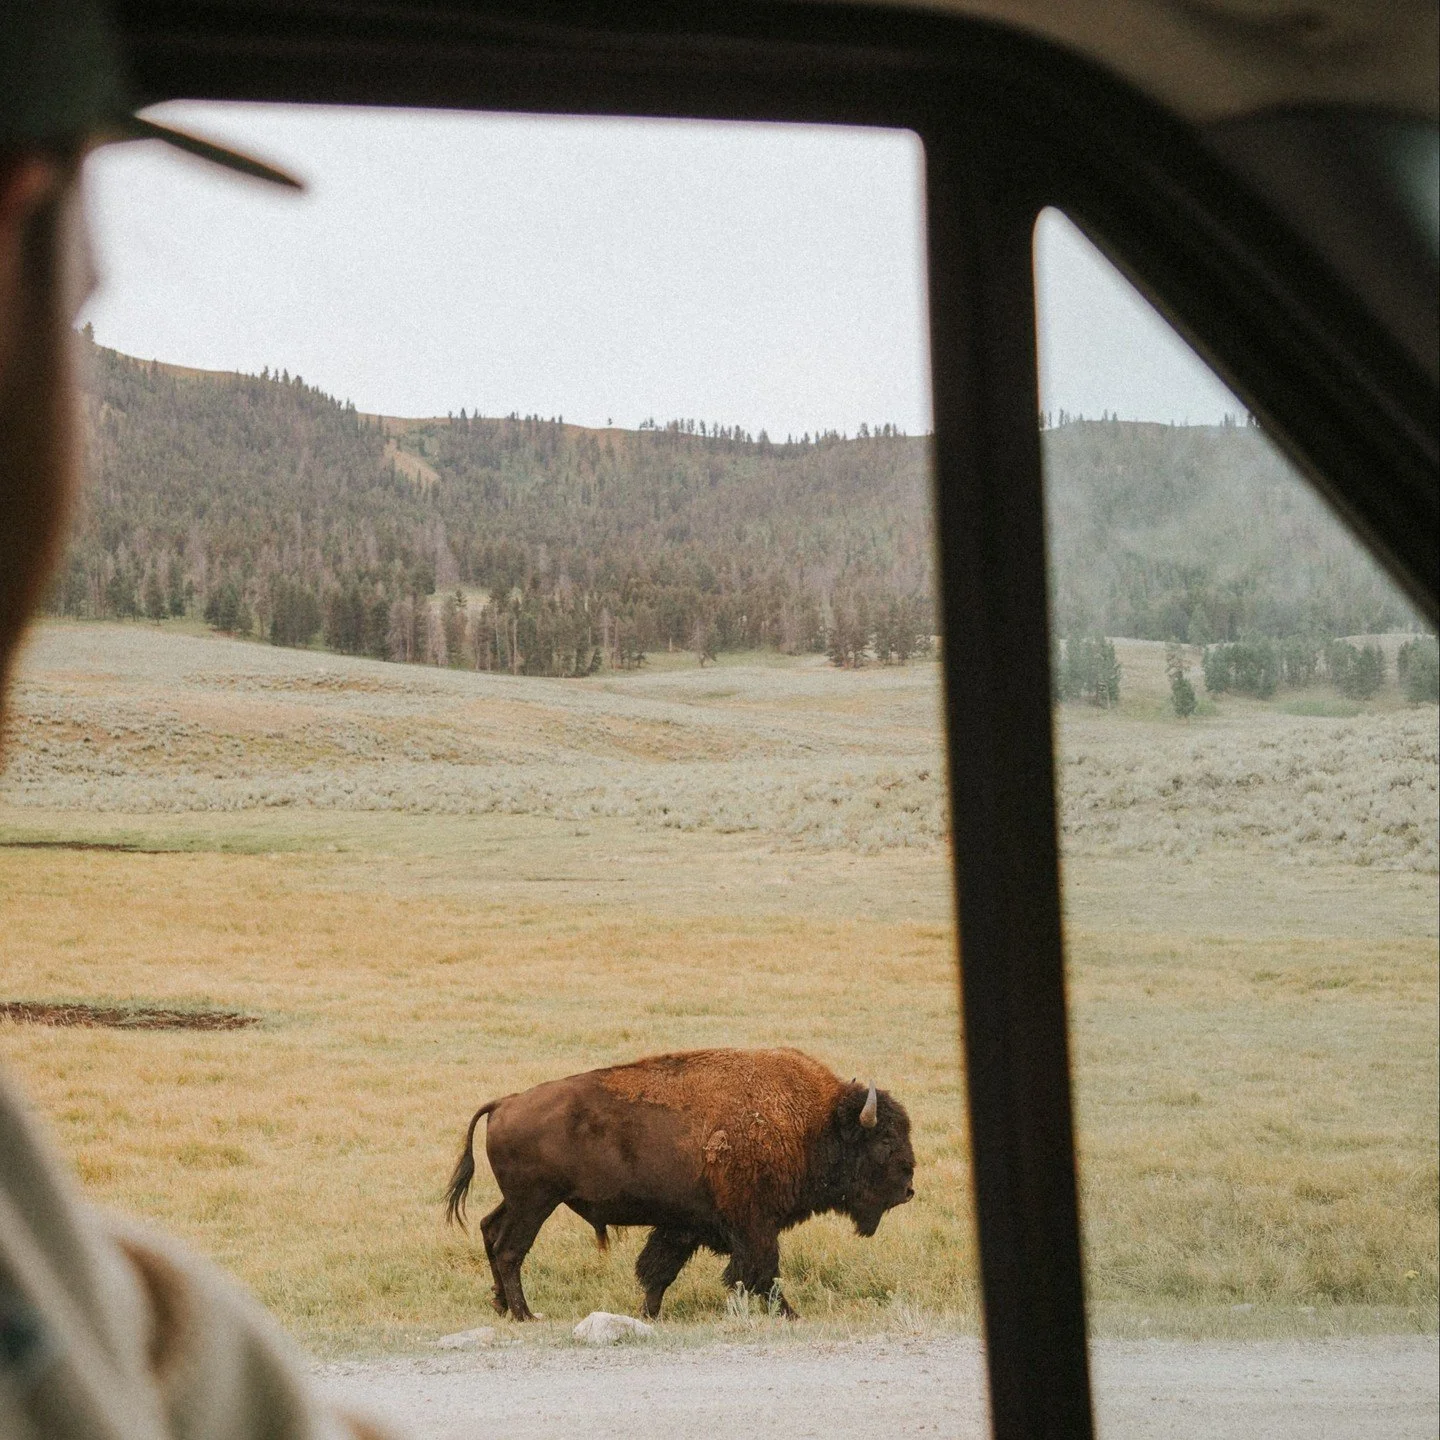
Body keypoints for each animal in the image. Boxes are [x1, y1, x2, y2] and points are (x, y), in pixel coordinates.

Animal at [443, 1046, 915, 1320]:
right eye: (885, 1139)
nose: (909, 1188)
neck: (810, 1123)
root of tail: (505, 1103)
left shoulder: (685, 1224)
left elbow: (660, 1271)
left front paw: (649, 1315)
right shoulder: (754, 1223)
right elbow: (762, 1270)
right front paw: (790, 1315)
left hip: (518, 1201)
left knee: (489, 1231)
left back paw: (501, 1306)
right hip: (535, 1203)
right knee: (510, 1249)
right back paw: (526, 1314)